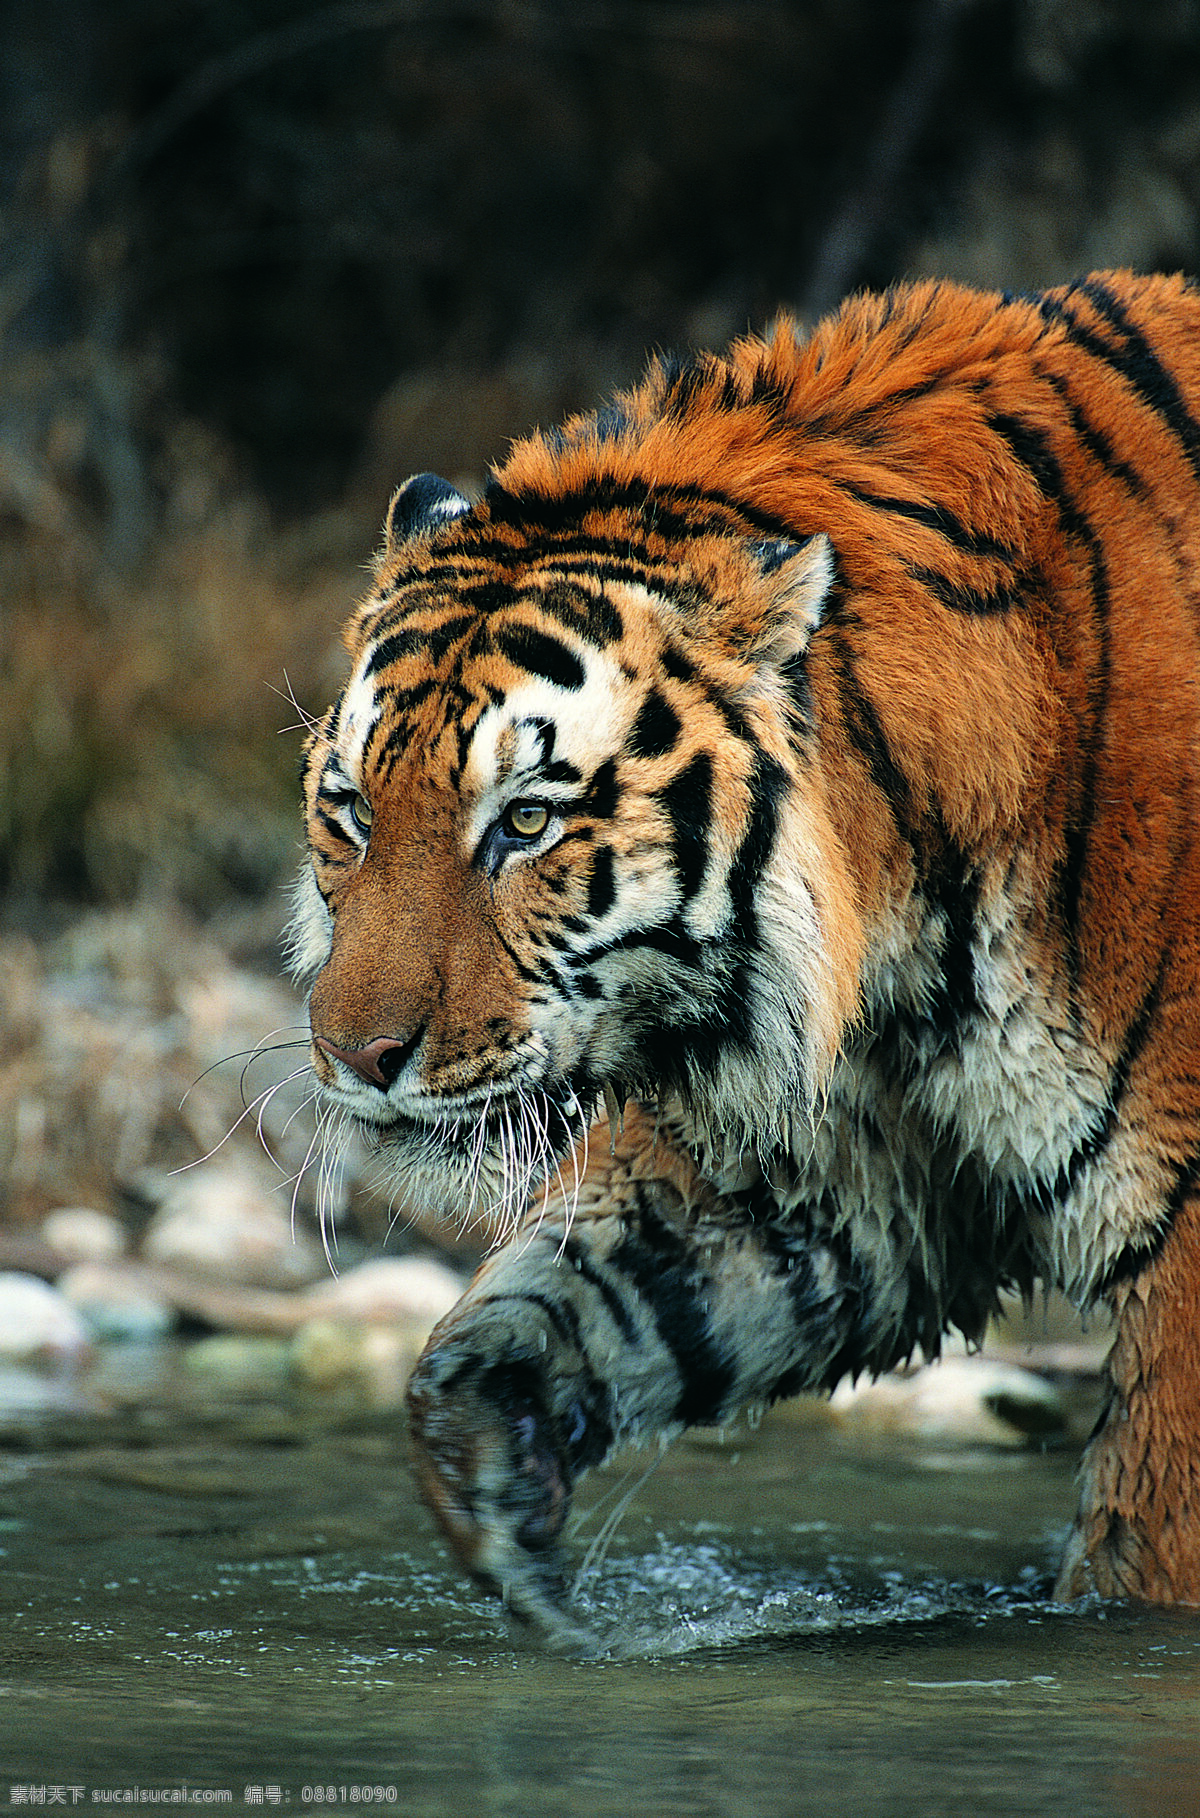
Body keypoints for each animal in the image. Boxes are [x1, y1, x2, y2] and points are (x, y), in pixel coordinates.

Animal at [289, 269, 1200, 1650]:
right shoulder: (838, 1169)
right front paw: (497, 1473)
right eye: (350, 809)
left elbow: (1148, 1544)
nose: (356, 1054)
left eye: (527, 822)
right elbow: (603, 1289)